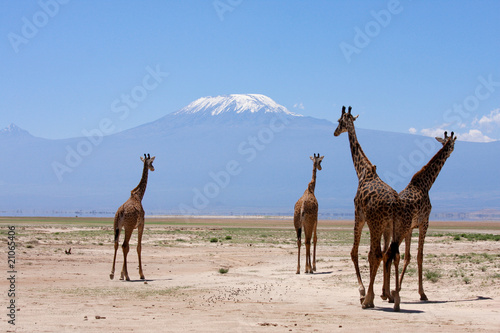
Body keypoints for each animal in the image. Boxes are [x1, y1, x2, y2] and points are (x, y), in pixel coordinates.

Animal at [396, 130, 458, 298]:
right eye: (452, 144)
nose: (451, 152)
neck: (426, 184)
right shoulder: (425, 222)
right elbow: (419, 257)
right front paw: (422, 293)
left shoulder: (411, 228)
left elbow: (407, 257)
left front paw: (398, 287)